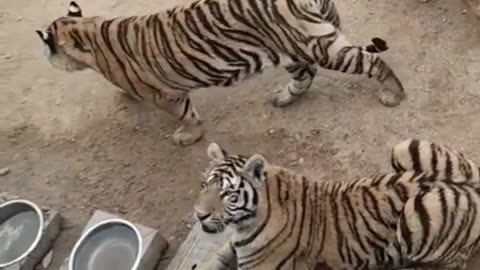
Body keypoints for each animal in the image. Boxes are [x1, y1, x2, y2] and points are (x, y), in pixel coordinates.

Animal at [36, 0, 404, 146]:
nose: (46, 55)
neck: (88, 30)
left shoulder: (165, 95)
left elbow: (184, 114)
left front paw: (188, 136)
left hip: (319, 47)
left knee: (372, 63)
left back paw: (394, 94)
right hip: (290, 49)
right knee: (306, 74)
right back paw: (285, 97)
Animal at [193, 141, 480, 270]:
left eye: (228, 195)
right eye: (204, 185)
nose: (199, 215)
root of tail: (475, 186)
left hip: (419, 212)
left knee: (455, 261)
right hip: (405, 148)